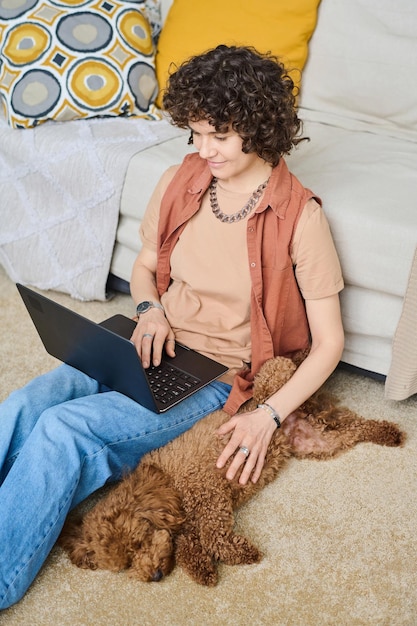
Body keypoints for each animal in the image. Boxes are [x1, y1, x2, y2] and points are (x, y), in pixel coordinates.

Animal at [58, 356, 404, 584]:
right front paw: (203, 571)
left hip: (273, 381)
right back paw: (388, 433)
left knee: (282, 376)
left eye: (139, 543)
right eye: (126, 563)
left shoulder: (211, 496)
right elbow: (187, 547)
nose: (154, 576)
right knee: (355, 429)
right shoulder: (184, 527)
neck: (167, 485)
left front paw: (241, 554)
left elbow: (213, 537)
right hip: (317, 442)